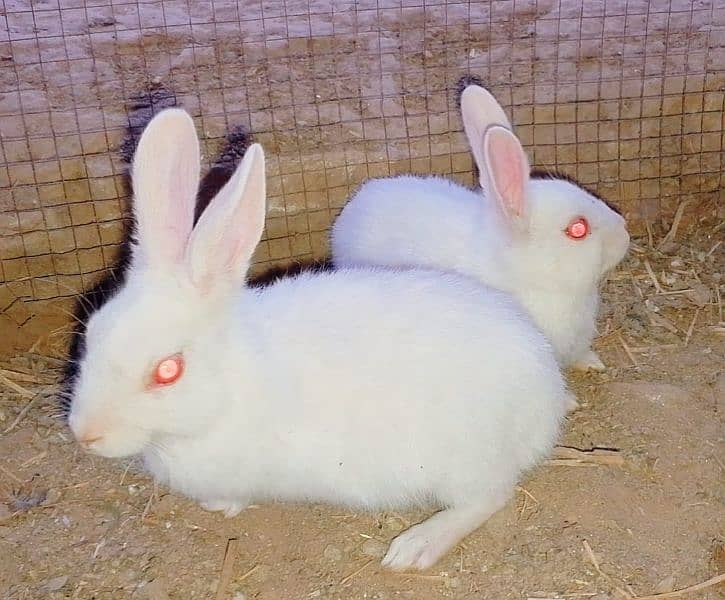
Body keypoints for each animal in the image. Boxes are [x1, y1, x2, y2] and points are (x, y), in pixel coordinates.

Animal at [65, 108, 568, 572]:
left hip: (464, 460)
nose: (85, 435)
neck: (230, 388)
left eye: (168, 370)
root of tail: (546, 394)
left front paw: (221, 503)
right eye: (91, 333)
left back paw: (416, 547)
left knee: (488, 498)